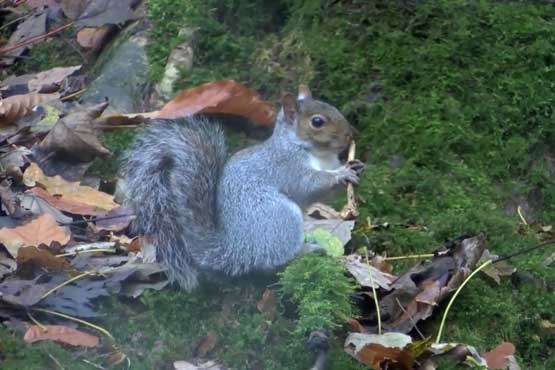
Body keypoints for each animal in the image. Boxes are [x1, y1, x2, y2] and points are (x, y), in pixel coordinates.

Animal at [120, 85, 364, 290]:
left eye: (333, 107)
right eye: (317, 122)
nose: (350, 135)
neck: (316, 153)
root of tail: (236, 250)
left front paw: (356, 166)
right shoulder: (286, 166)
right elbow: (309, 184)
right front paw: (341, 174)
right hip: (280, 218)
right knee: (275, 261)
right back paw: (308, 250)